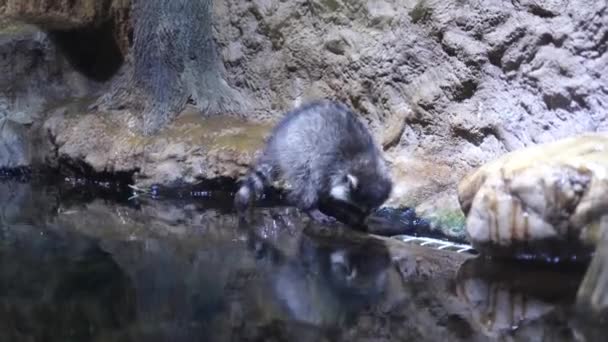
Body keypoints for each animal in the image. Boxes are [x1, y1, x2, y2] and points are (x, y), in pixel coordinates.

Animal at [235, 99, 392, 227]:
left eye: (369, 211)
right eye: (353, 208)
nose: (360, 224)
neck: (364, 161)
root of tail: (277, 142)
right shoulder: (327, 161)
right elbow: (317, 183)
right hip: (298, 151)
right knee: (306, 180)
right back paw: (310, 207)